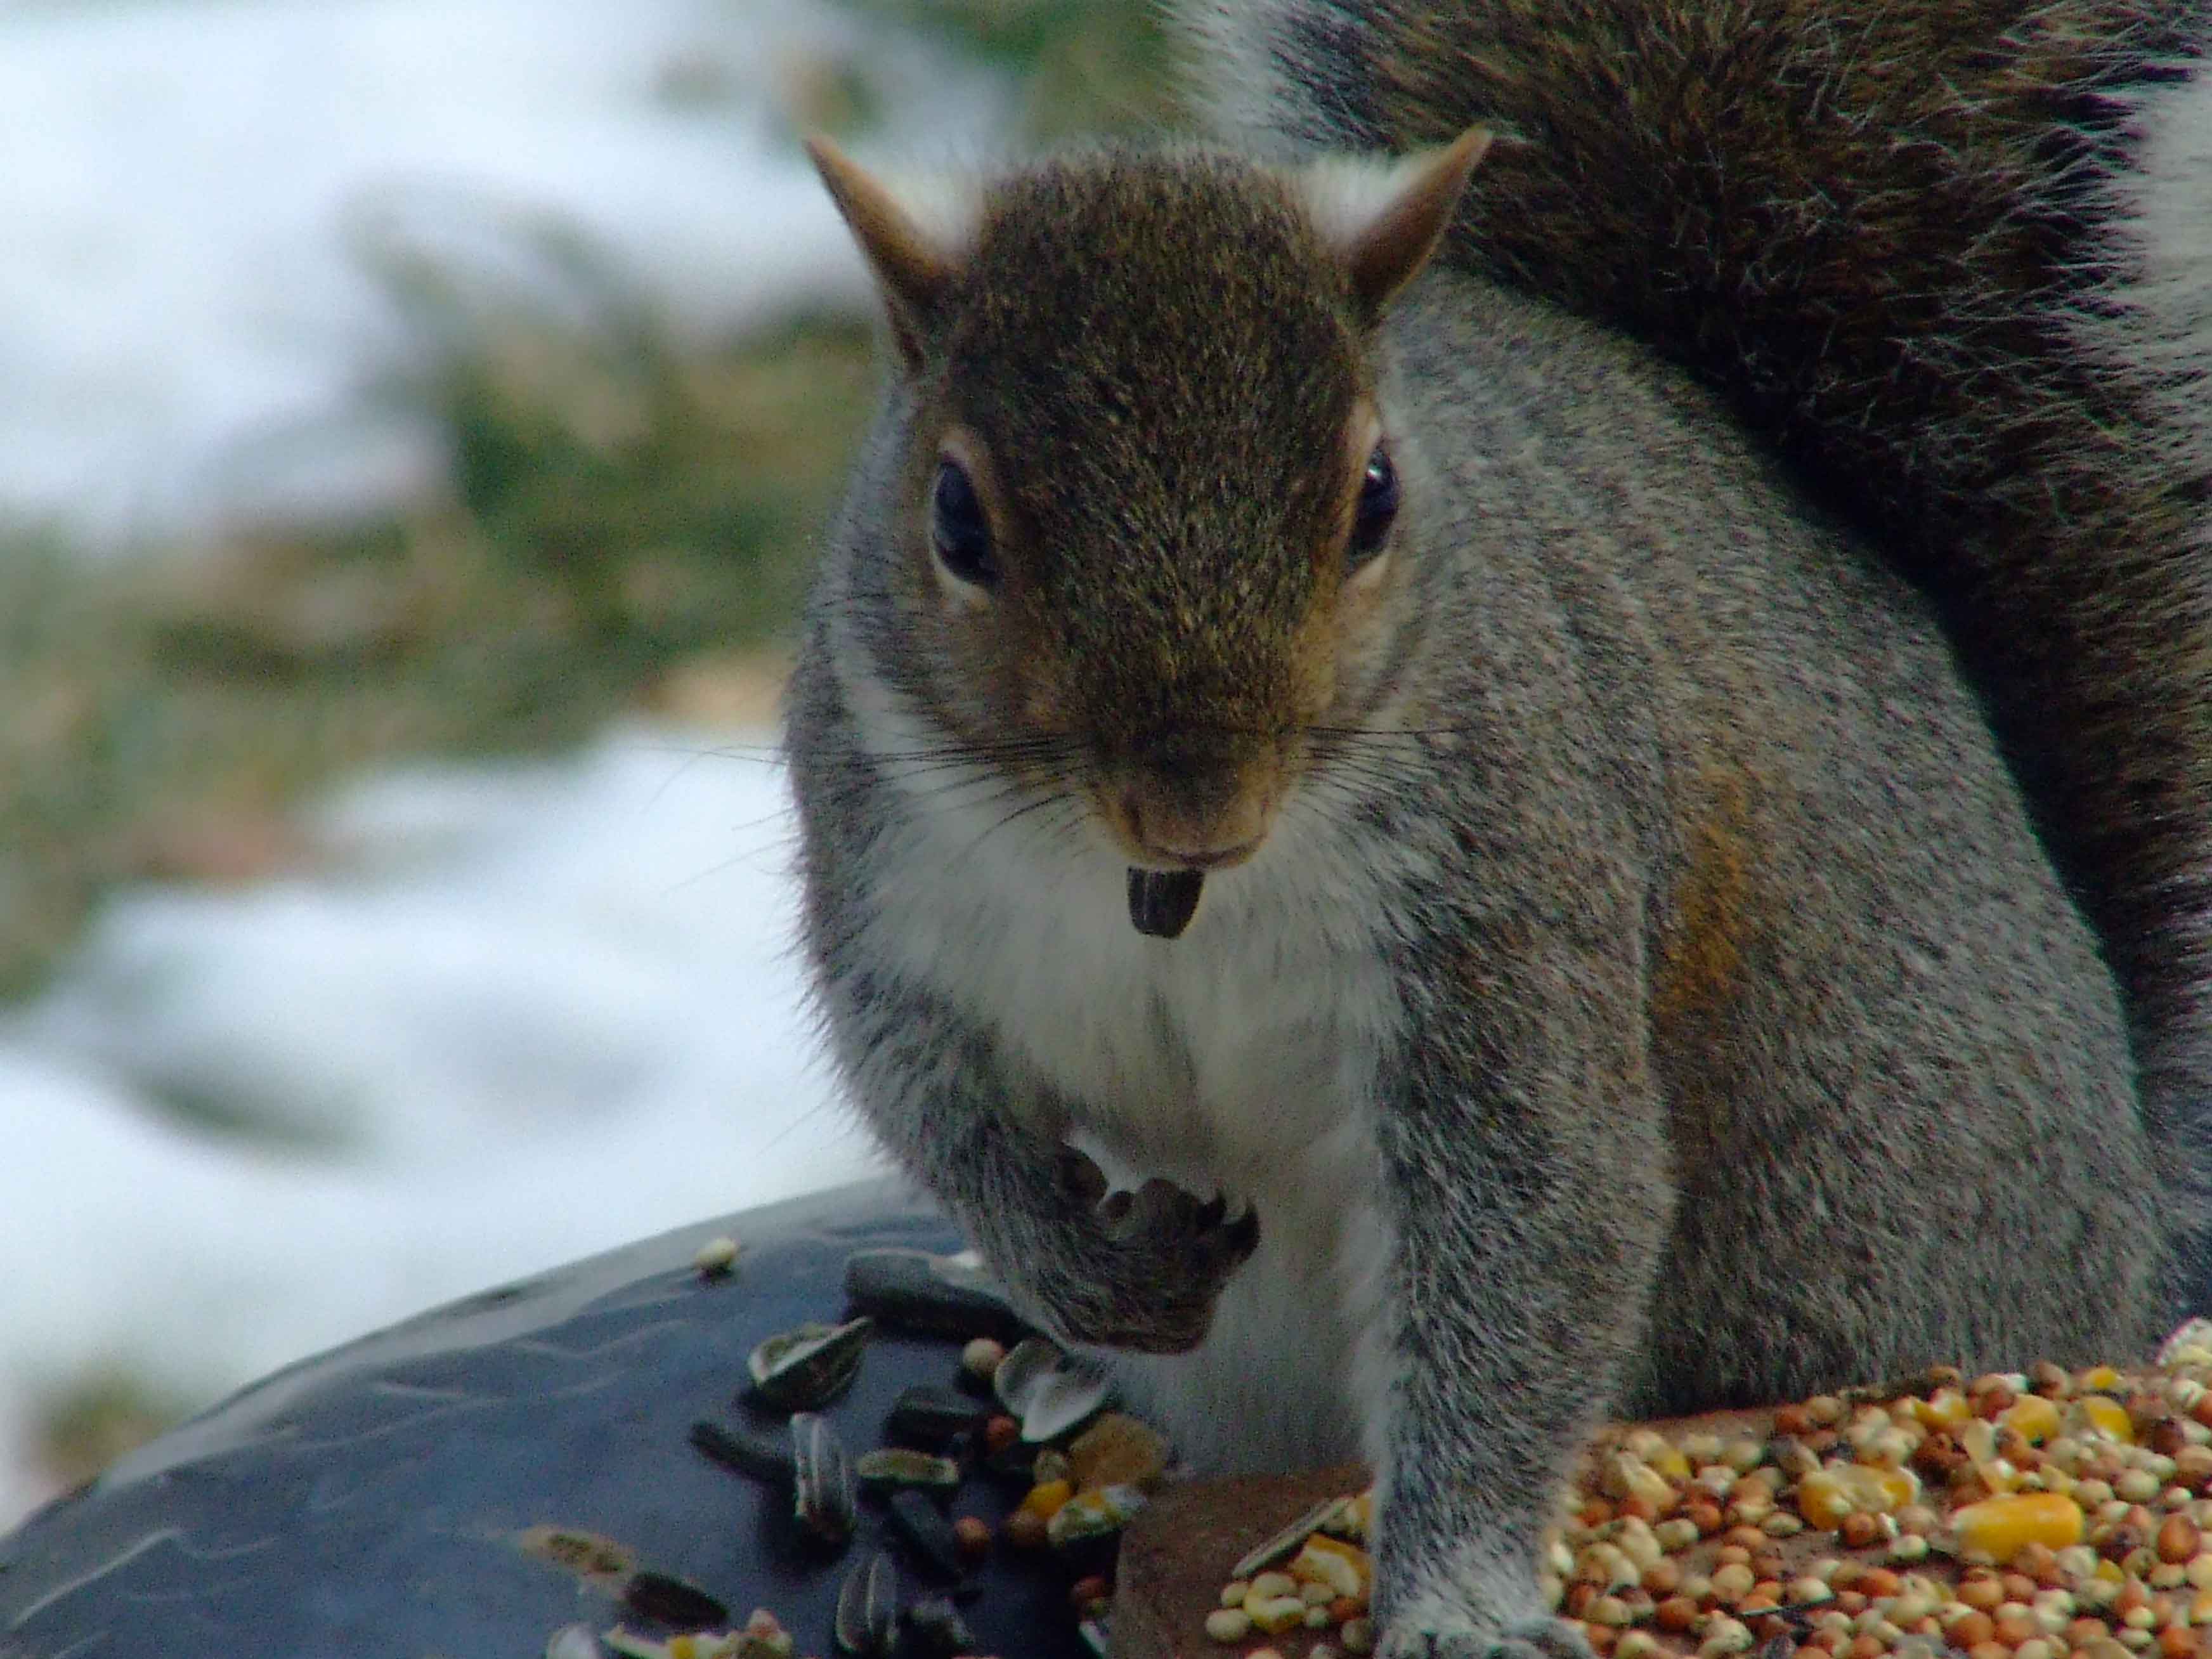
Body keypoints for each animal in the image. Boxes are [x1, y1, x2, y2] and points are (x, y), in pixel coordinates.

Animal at [774, 0, 2212, 1655]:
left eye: (1375, 498)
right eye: (954, 519)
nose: (1198, 808)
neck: (1149, 888)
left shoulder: (1508, 916)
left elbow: (1534, 1233)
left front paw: (1456, 1595)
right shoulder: (887, 887)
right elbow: (926, 1095)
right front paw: (1075, 1258)